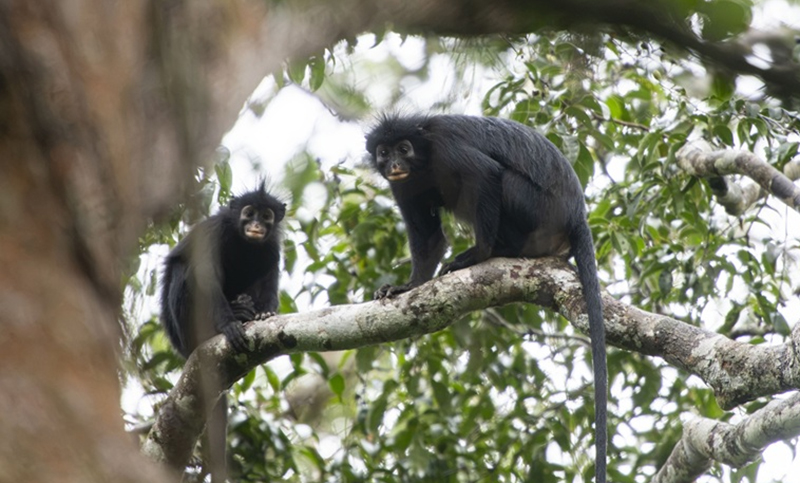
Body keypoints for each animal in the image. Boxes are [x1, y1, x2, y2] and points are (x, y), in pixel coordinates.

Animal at [159, 181, 285, 481]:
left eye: (266, 216)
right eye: (249, 213)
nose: (255, 225)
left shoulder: (272, 246)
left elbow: (270, 274)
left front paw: (265, 314)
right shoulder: (214, 232)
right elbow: (205, 276)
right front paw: (229, 324)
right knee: (184, 269)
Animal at [365, 114, 607, 483]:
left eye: (403, 149)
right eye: (384, 152)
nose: (394, 163)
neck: (423, 158)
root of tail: (576, 214)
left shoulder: (446, 147)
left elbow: (486, 174)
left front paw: (479, 254)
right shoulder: (403, 185)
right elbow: (429, 239)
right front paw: (407, 287)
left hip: (536, 209)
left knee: (500, 179)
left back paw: (496, 251)